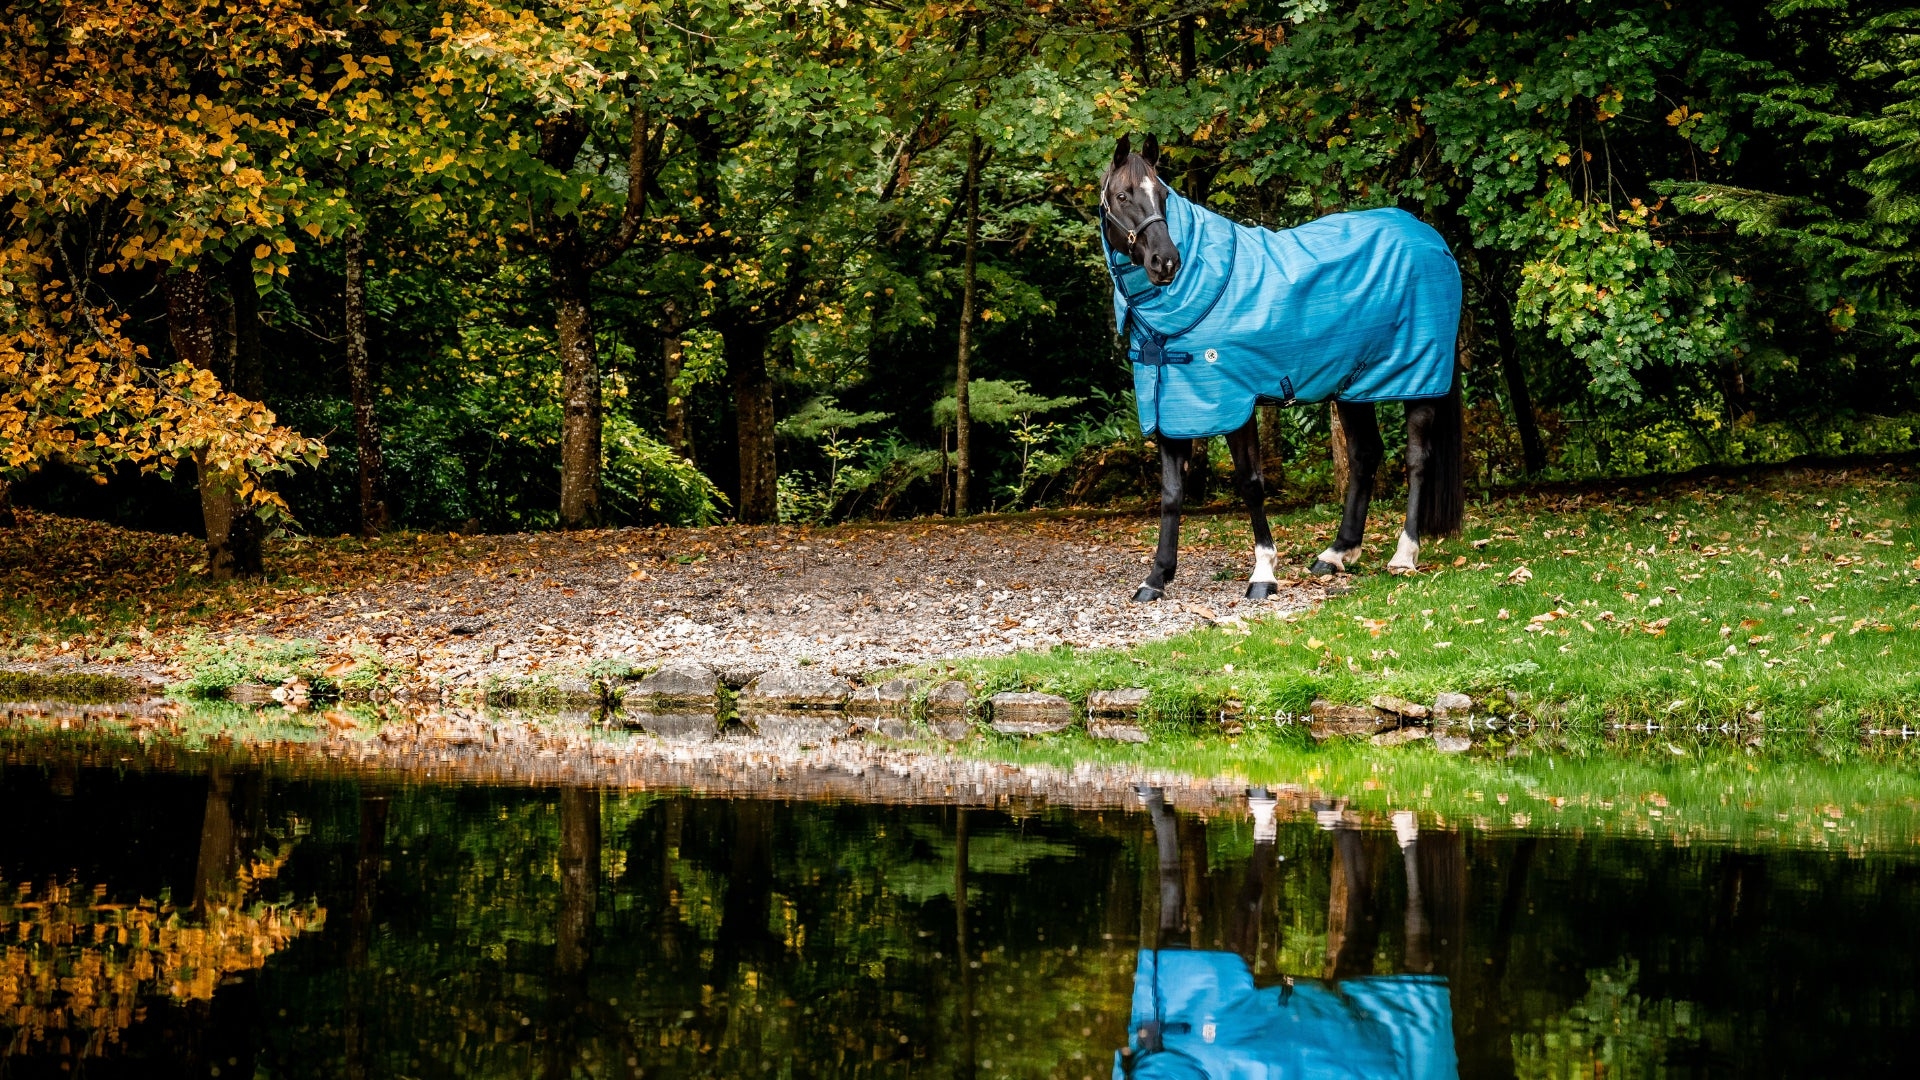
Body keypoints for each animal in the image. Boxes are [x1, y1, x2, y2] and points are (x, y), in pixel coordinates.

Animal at [1098, 134, 1465, 602]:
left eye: (1162, 194)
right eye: (1123, 196)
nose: (1166, 262)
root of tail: (1434, 240)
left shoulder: (1235, 400)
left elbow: (1250, 483)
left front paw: (1263, 573)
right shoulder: (1172, 406)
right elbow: (1171, 493)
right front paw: (1156, 577)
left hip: (1418, 377)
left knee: (1417, 459)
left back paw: (1404, 555)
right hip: (1354, 385)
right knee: (1365, 456)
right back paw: (1336, 554)